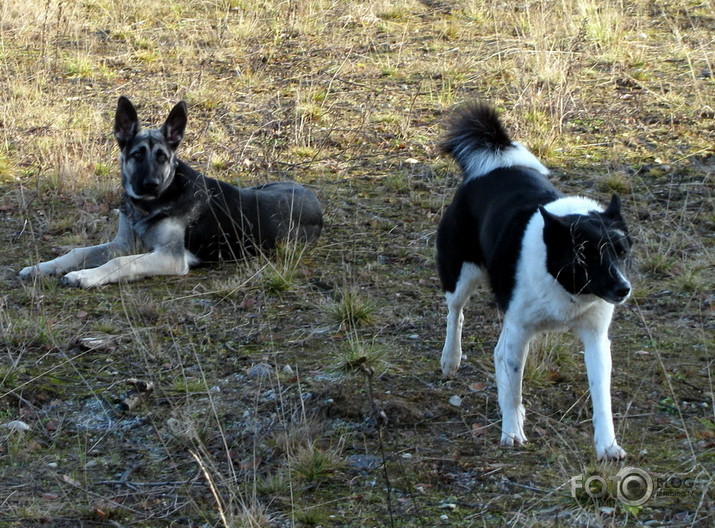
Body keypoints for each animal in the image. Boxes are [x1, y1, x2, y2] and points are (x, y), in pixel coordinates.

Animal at [18, 97, 324, 286]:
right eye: (138, 155)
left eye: (162, 157)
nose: (150, 185)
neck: (149, 205)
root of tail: (315, 201)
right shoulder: (124, 243)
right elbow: (77, 251)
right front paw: (41, 267)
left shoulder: (170, 257)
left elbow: (120, 263)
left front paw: (85, 276)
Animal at [436, 102, 632, 458]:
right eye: (584, 256)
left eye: (621, 251)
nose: (623, 289)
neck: (563, 283)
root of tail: (496, 163)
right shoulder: (520, 330)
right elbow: (514, 386)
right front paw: (512, 431)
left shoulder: (595, 338)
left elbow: (601, 397)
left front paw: (607, 445)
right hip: (462, 275)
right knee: (455, 314)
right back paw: (451, 359)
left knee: (497, 351)